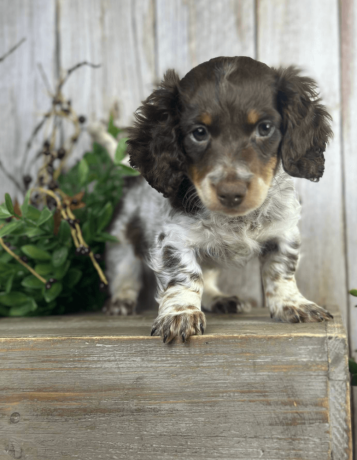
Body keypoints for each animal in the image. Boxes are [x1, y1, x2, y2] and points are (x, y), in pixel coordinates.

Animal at [104, 55, 332, 342]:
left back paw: (219, 299)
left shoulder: (284, 231)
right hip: (122, 238)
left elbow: (281, 270)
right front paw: (181, 314)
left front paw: (293, 304)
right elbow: (185, 276)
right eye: (199, 133)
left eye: (265, 128)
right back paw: (121, 300)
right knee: (125, 271)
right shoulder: (175, 237)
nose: (231, 192)